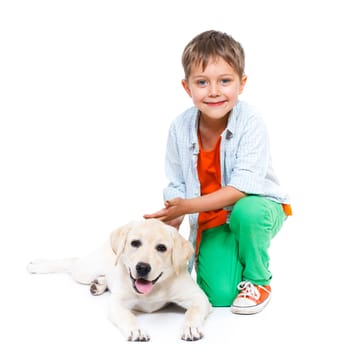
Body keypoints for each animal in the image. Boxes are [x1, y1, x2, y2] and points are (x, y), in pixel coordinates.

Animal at [27, 219, 211, 342]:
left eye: (161, 248)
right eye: (135, 243)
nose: (142, 267)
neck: (154, 289)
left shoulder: (199, 298)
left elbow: (192, 312)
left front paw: (191, 328)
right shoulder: (117, 303)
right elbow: (127, 316)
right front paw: (136, 330)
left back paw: (99, 284)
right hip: (85, 270)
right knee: (71, 262)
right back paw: (38, 265)